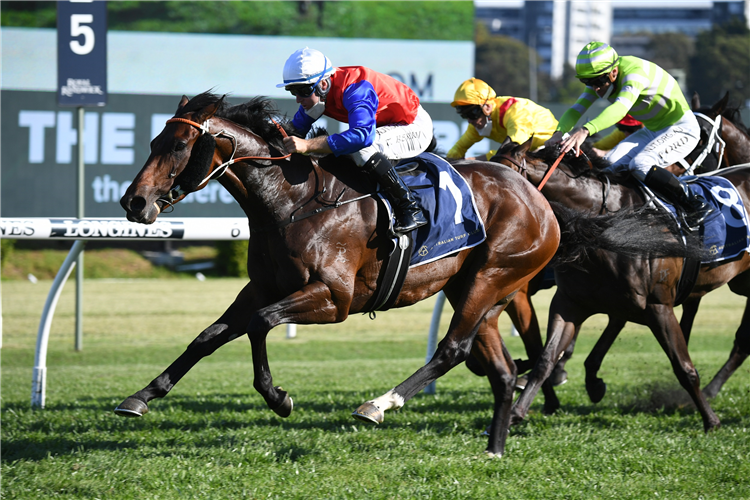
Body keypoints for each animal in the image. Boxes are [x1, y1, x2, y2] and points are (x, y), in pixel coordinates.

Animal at [116, 93, 564, 458]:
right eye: (154, 143)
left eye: (179, 145)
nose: (133, 201)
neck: (292, 201)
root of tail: (534, 195)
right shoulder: (262, 287)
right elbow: (207, 337)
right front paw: (141, 396)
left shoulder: (335, 298)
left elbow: (261, 323)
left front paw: (278, 397)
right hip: (476, 289)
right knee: (501, 371)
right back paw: (494, 448)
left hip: (490, 276)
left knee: (453, 349)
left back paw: (379, 405)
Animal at [496, 138, 750, 438]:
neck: (607, 224)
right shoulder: (571, 303)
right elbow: (545, 360)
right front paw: (514, 415)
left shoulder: (657, 306)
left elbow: (684, 367)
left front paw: (711, 421)